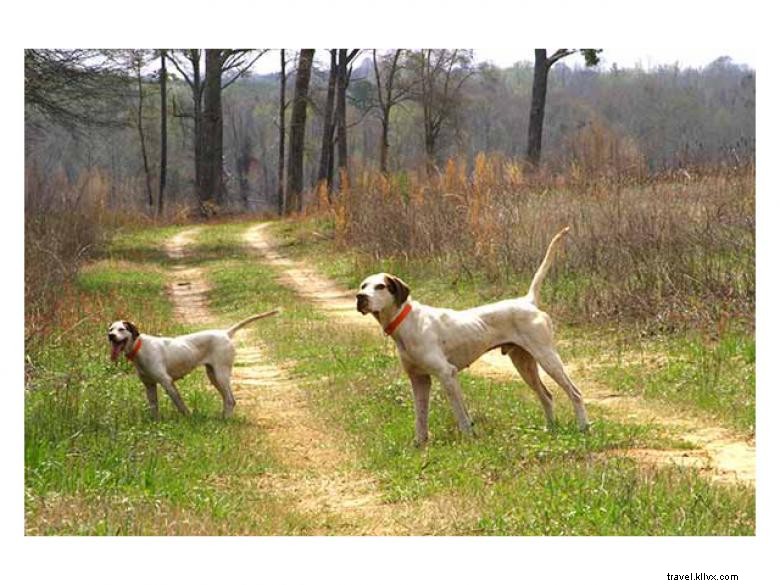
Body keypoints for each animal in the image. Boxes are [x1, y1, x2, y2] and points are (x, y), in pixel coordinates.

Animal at [108, 308, 278, 418]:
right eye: (110, 329)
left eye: (122, 329)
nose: (110, 336)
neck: (140, 347)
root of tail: (225, 333)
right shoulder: (149, 385)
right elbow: (154, 407)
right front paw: (155, 422)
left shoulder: (167, 381)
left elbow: (180, 404)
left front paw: (188, 418)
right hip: (213, 375)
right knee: (227, 399)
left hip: (221, 374)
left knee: (230, 399)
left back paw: (226, 420)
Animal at [356, 227, 588, 442]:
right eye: (363, 286)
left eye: (380, 286)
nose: (360, 297)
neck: (406, 321)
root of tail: (528, 301)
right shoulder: (419, 379)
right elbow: (420, 418)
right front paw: (419, 445)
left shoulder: (447, 374)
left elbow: (462, 416)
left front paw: (469, 439)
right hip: (524, 364)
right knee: (547, 396)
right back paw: (551, 430)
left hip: (548, 359)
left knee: (575, 393)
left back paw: (583, 427)